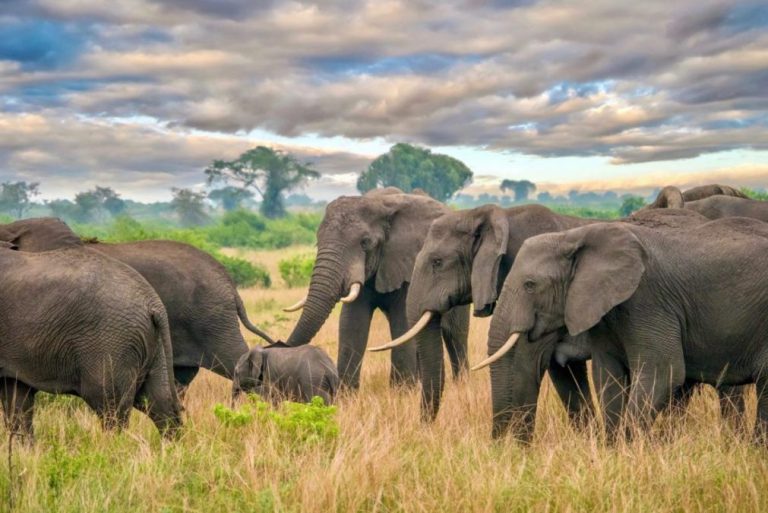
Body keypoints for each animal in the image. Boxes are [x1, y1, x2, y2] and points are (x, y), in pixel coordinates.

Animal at [0, 241, 182, 440]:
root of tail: (153, 302)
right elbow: (16, 397)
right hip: (154, 346)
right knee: (158, 404)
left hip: (111, 342)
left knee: (110, 406)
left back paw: (111, 444)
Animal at [283, 188, 470, 390]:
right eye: (317, 242)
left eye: (365, 242)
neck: (381, 204)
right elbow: (352, 323)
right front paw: (347, 393)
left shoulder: (408, 264)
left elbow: (402, 322)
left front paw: (401, 391)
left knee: (455, 335)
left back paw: (460, 384)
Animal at [478, 212, 768, 442]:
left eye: (530, 285)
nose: (504, 451)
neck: (574, 236)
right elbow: (606, 376)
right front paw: (612, 451)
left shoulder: (647, 300)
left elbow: (663, 372)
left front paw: (630, 450)